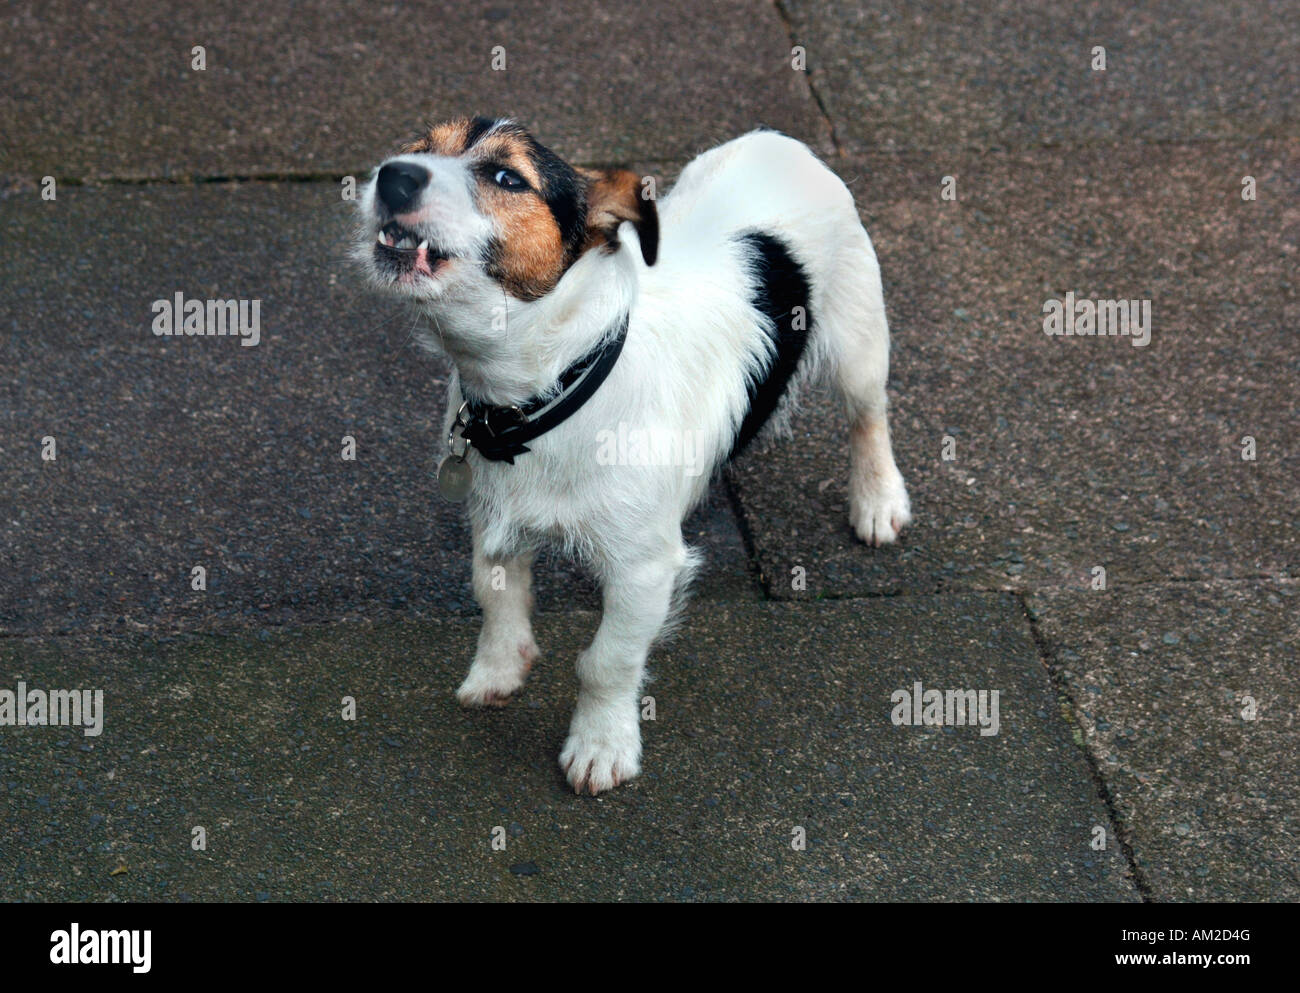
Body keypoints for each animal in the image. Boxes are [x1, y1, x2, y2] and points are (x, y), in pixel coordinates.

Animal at [351, 120, 909, 795]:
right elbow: (495, 595)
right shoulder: (492, 521)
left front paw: (600, 746)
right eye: (422, 145)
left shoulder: (644, 572)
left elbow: (606, 662)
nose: (394, 175)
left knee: (869, 417)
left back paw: (878, 500)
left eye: (508, 177)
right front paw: (499, 671)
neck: (555, 385)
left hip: (859, 341)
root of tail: (778, 139)